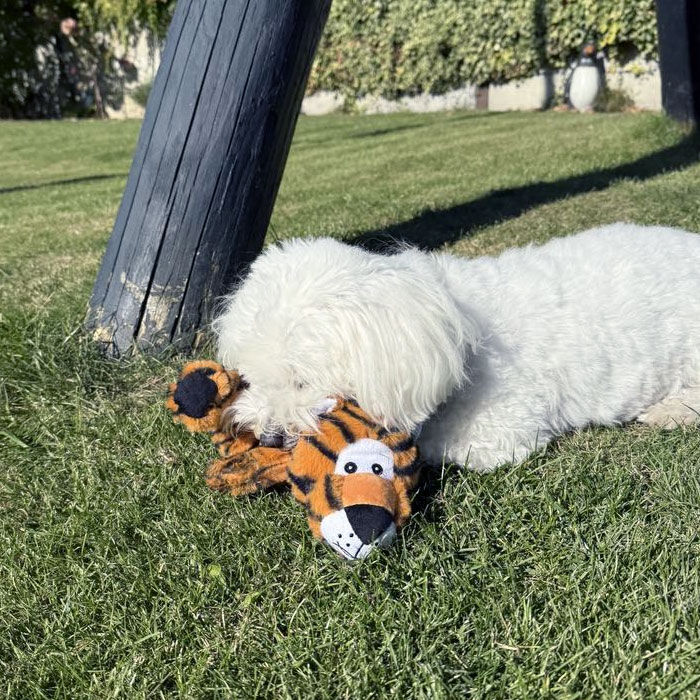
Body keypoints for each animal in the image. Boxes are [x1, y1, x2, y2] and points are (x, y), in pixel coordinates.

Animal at [213, 223, 700, 473]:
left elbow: (432, 443)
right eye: (252, 379)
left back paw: (671, 410)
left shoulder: (501, 425)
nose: (268, 437)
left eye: (302, 382)